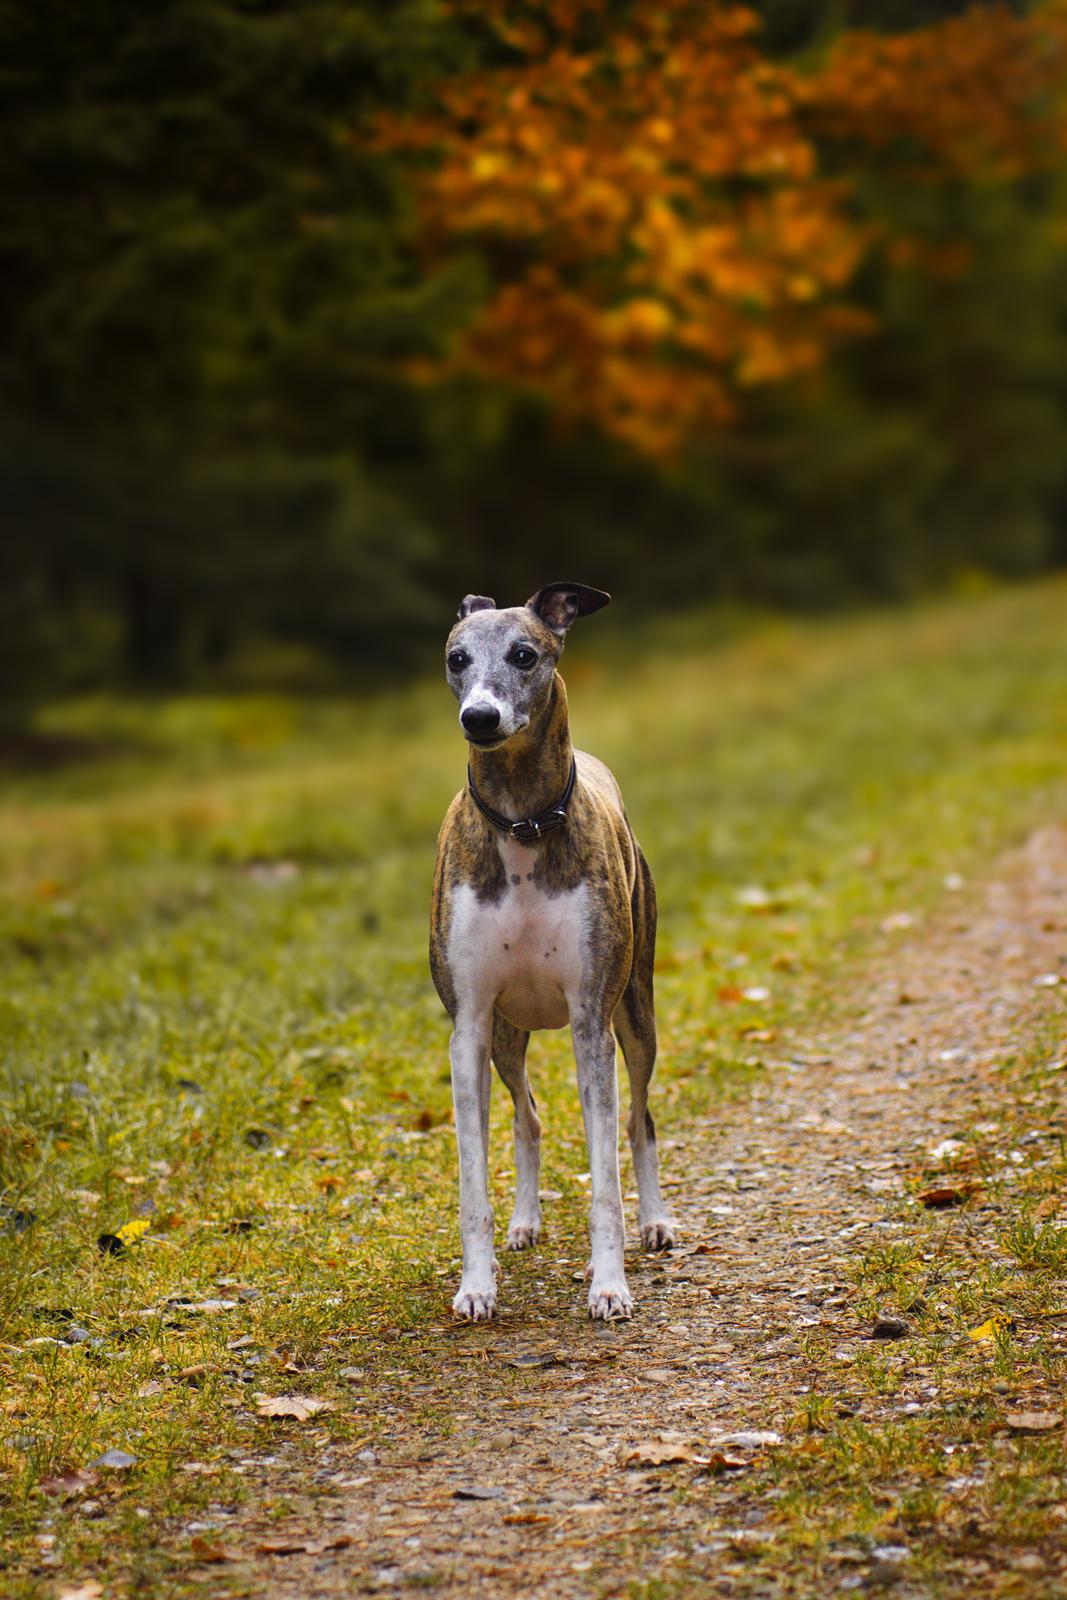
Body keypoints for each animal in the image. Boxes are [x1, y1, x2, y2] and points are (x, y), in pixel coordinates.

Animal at [428, 582, 671, 1318]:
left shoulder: (591, 1020)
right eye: (455, 658)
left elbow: (605, 1181)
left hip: (636, 1014)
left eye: (524, 654)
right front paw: (476, 1286)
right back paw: (524, 1222)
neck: (522, 824)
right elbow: (472, 1182)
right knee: (528, 1119)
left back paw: (656, 1221)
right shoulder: (469, 1027)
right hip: (507, 1038)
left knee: (640, 1120)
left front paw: (609, 1285)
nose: (480, 718)